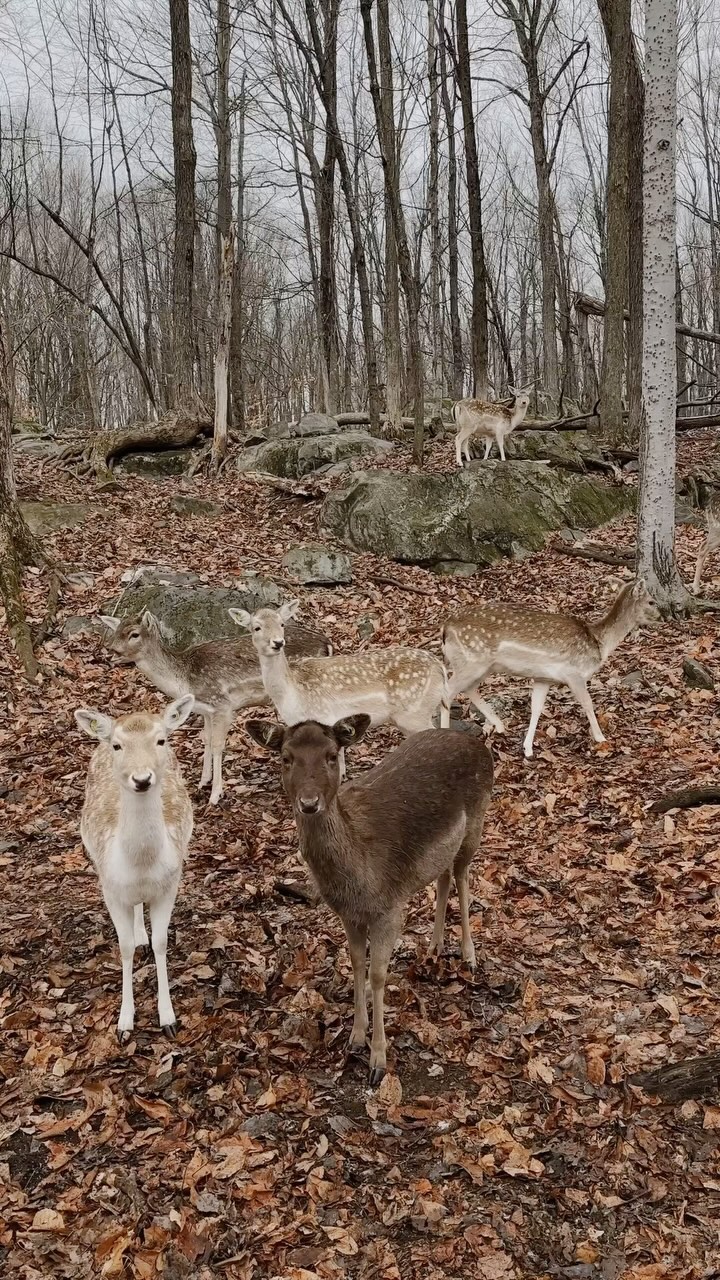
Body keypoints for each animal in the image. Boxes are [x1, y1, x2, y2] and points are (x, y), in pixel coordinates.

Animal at [73, 701, 193, 1039]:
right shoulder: (110, 889)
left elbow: (161, 942)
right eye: (118, 745)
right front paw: (124, 1022)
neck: (141, 865)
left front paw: (168, 1018)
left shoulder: (170, 884)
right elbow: (124, 947)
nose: (142, 779)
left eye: (161, 740)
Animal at [99, 606, 330, 798]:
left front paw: (215, 794)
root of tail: (327, 643)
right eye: (116, 631)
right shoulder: (206, 710)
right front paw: (203, 782)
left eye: (134, 634)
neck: (184, 680)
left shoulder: (222, 704)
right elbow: (207, 741)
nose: (111, 651)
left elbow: (219, 745)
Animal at [226, 596, 445, 768]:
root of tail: (440, 668)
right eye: (256, 627)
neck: (291, 693)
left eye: (282, 624)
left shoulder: (323, 716)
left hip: (415, 713)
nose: (278, 642)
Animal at [243, 716, 489, 1085]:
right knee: (444, 877)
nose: (309, 803)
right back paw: (434, 947)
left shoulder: (389, 908)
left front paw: (378, 1061)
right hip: (445, 850)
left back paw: (469, 955)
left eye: (332, 755)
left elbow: (377, 974)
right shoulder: (348, 914)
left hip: (476, 824)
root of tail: (480, 746)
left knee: (461, 876)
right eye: (286, 757)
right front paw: (356, 1039)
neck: (357, 878)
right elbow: (357, 963)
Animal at [440, 583, 661, 757]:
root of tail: (445, 629)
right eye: (651, 601)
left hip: (482, 666)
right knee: (447, 692)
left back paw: (500, 726)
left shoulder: (543, 678)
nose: (662, 615)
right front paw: (600, 737)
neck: (598, 644)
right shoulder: (574, 673)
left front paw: (528, 749)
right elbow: (588, 703)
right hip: (472, 660)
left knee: (468, 689)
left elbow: (537, 708)